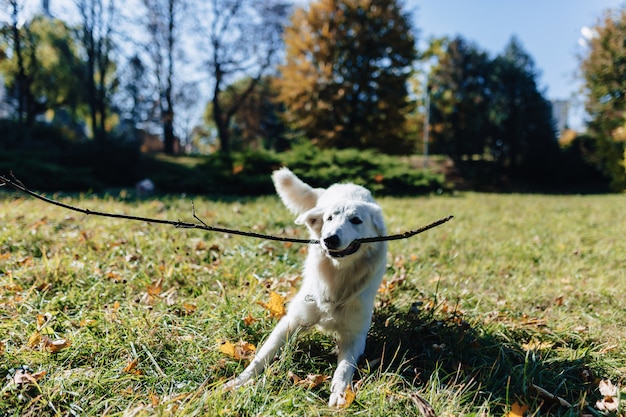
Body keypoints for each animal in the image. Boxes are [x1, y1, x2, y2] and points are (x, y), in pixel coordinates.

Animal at [227, 167, 386, 406]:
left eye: (356, 220)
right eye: (329, 218)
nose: (329, 239)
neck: (338, 278)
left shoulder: (355, 336)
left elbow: (344, 368)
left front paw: (340, 393)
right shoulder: (292, 321)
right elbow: (261, 356)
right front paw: (239, 381)